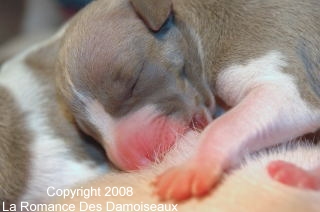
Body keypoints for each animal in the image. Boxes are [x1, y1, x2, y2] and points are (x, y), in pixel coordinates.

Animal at [57, 0, 320, 200]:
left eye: (134, 82)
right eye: (87, 131)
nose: (135, 162)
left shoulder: (278, 79)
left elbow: (223, 126)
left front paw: (193, 166)